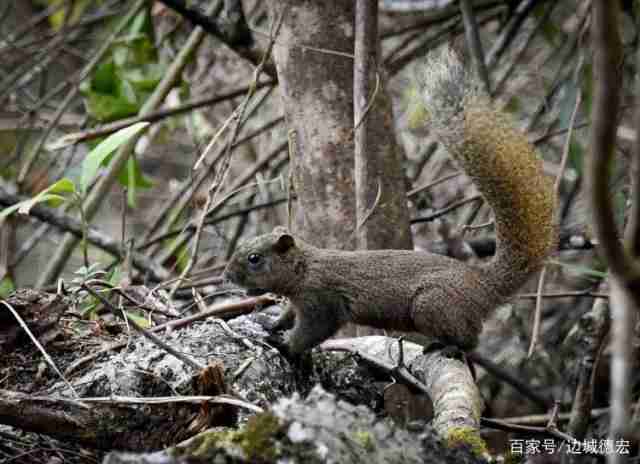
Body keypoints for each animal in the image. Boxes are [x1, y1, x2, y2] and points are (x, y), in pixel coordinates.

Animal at [224, 48, 556, 356]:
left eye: (254, 258)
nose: (227, 276)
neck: (304, 269)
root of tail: (483, 285)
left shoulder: (322, 301)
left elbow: (312, 331)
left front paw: (285, 346)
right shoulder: (299, 302)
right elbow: (288, 316)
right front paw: (272, 324)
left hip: (432, 305)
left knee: (470, 340)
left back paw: (449, 347)